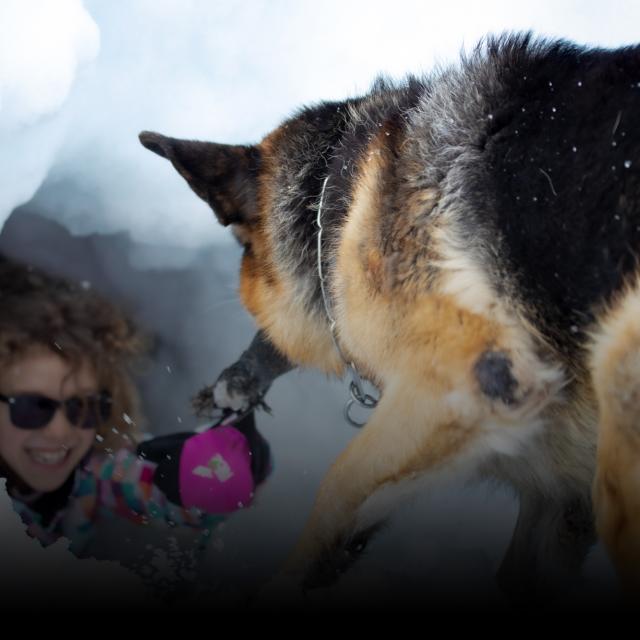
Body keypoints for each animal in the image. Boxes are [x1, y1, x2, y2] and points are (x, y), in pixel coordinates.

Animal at [139, 33, 640, 604]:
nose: (220, 392)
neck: (334, 198)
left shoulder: (462, 382)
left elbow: (338, 489)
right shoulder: (557, 498)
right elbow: (518, 569)